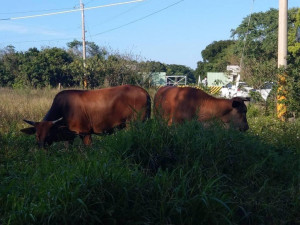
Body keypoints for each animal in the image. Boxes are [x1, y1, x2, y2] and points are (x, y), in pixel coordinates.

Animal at [21, 85, 151, 148]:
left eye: (48, 134)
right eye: (37, 135)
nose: (41, 148)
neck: (63, 109)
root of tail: (144, 92)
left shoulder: (85, 132)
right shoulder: (70, 136)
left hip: (133, 124)